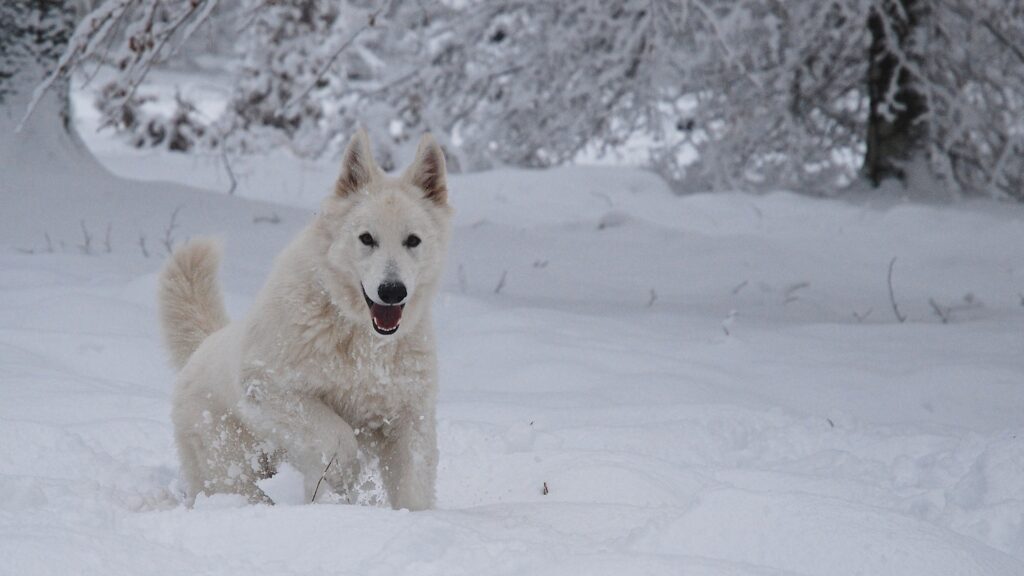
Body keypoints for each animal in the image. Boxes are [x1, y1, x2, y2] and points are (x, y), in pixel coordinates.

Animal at [158, 130, 448, 506]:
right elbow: (339, 438)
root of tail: (203, 346)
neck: (359, 337)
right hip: (232, 470)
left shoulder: (410, 418)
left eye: (413, 241)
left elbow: (413, 487)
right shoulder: (271, 388)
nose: (392, 291)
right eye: (366, 238)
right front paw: (337, 488)